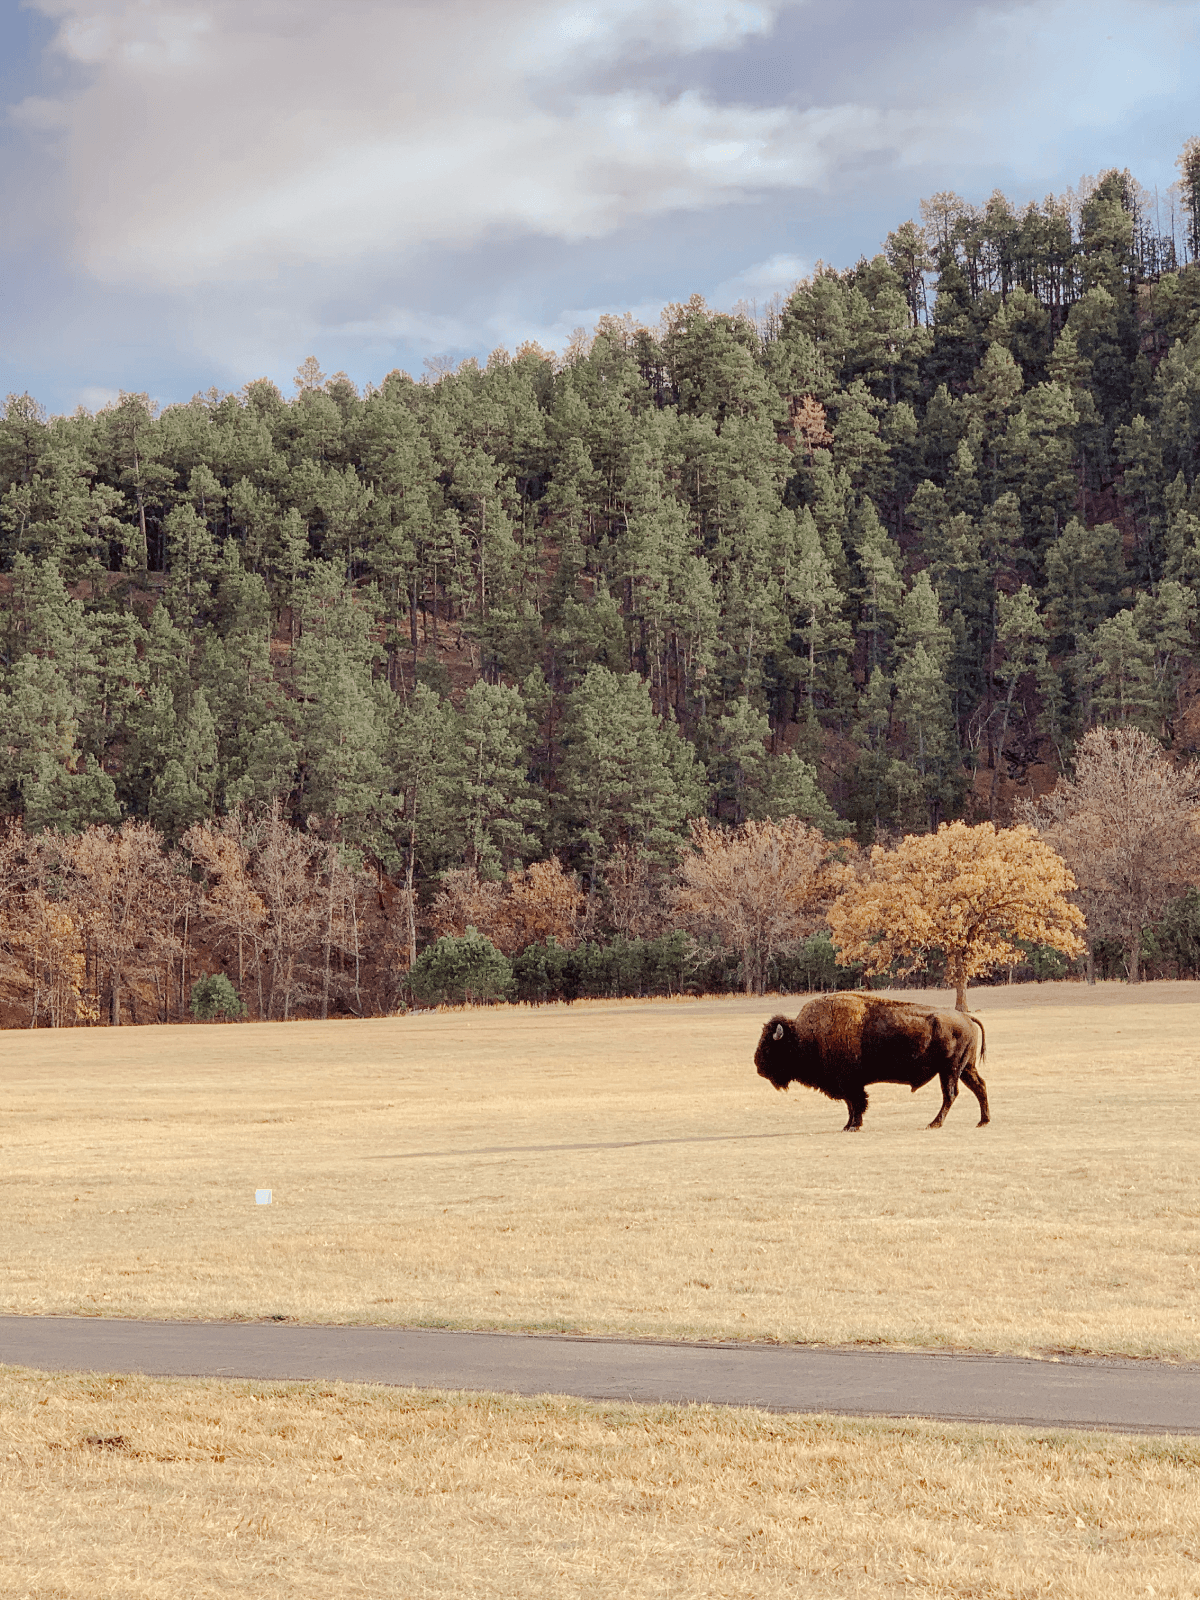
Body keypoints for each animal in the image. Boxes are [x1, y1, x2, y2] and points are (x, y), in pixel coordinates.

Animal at [755, 992, 989, 1131]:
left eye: (769, 1046)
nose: (758, 1067)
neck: (804, 1036)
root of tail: (966, 1017)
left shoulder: (849, 1084)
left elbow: (856, 1104)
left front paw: (853, 1126)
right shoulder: (848, 1085)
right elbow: (851, 1105)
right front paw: (848, 1125)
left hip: (949, 1070)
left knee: (950, 1094)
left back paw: (934, 1124)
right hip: (965, 1068)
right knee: (979, 1087)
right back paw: (982, 1121)